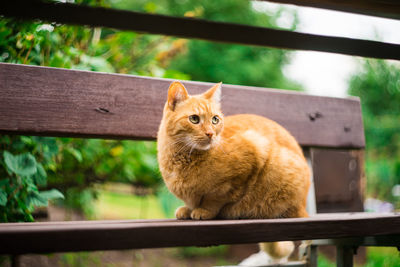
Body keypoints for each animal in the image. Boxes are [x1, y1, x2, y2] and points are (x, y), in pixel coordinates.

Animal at [158, 81, 310, 264]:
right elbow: (193, 202)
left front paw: (204, 211)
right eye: (194, 119)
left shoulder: (249, 157)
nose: (210, 133)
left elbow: (215, 198)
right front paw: (188, 209)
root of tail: (303, 206)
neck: (182, 159)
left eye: (215, 119)